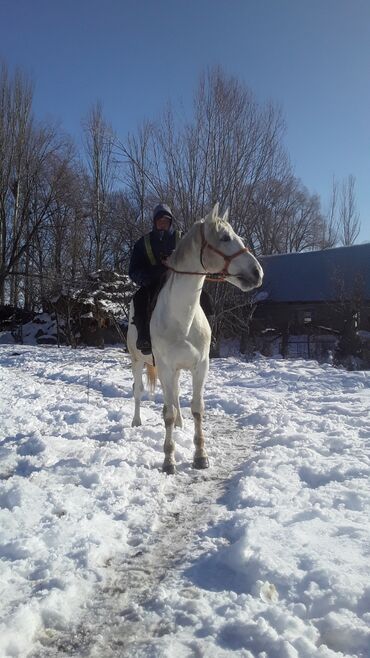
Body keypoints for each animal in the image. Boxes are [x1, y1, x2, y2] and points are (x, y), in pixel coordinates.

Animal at [127, 204, 264, 472]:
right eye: (225, 237)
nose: (257, 273)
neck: (183, 318)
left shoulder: (200, 366)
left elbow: (197, 409)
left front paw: (200, 455)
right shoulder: (165, 367)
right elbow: (167, 412)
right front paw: (168, 460)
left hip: (178, 370)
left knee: (176, 395)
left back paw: (181, 424)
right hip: (138, 361)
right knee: (139, 391)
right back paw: (136, 422)